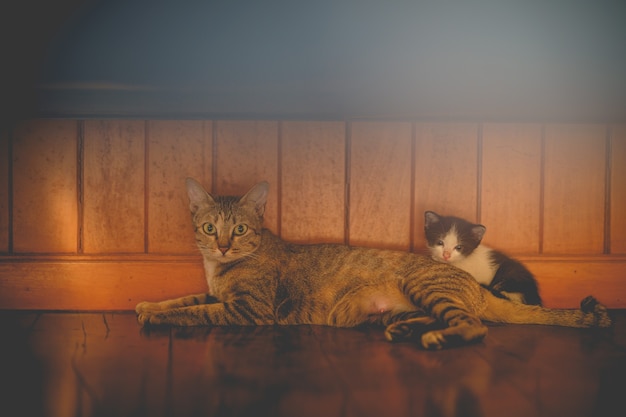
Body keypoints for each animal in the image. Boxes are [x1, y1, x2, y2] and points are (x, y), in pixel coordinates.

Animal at [134, 178, 608, 348]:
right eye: (209, 227)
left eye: (240, 229)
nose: (223, 248)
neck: (219, 270)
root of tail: (474, 285)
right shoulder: (216, 293)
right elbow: (183, 299)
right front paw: (148, 305)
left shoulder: (250, 309)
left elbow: (195, 312)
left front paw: (156, 318)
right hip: (397, 308)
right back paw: (405, 329)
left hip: (425, 288)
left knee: (474, 327)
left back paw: (438, 338)